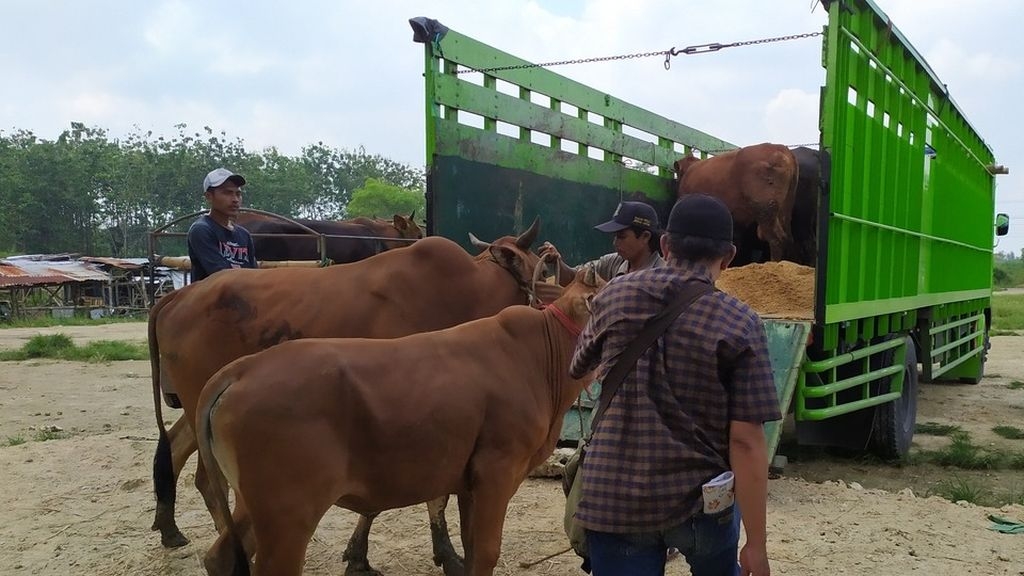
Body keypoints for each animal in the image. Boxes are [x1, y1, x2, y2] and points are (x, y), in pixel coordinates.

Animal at [149, 219, 544, 573]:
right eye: (543, 266)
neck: (468, 290)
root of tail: (178, 295)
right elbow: (429, 496)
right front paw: (440, 555)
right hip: (199, 399)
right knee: (205, 476)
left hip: (198, 406)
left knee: (176, 447)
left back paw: (171, 529)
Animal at [195, 264, 602, 573]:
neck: (541, 356)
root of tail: (241, 369)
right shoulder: (498, 470)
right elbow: (486, 553)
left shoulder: (469, 482)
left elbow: (471, 550)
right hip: (289, 515)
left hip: (254, 506)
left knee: (219, 557)